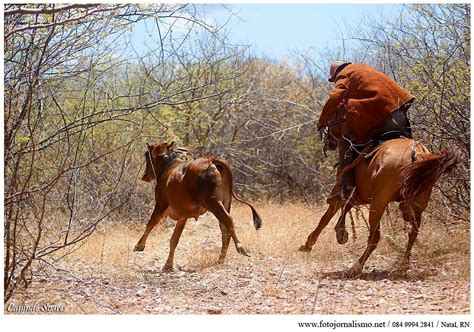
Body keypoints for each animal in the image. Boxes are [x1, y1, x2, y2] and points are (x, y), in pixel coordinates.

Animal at [133, 141, 262, 272]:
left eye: (147, 155)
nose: (144, 175)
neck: (168, 166)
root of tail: (211, 160)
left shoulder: (160, 204)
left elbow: (151, 223)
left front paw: (139, 246)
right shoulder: (183, 216)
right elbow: (174, 239)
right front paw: (168, 265)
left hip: (214, 203)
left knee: (228, 220)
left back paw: (241, 248)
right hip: (225, 202)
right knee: (224, 229)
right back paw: (221, 259)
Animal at [298, 108, 458, 274]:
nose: (328, 141)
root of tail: (417, 154)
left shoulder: (340, 192)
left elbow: (326, 217)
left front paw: (308, 244)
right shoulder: (357, 196)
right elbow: (345, 208)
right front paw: (340, 232)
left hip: (378, 203)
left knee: (375, 237)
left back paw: (357, 266)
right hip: (415, 205)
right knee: (412, 232)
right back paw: (403, 265)